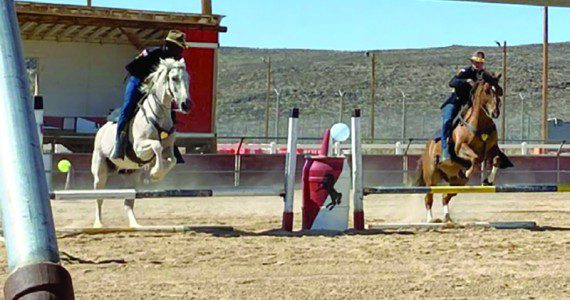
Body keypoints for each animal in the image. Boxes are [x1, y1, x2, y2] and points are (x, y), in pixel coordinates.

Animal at [90, 58, 190, 227]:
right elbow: (156, 145)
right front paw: (155, 172)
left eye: (188, 79)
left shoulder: (169, 148)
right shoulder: (139, 148)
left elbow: (172, 160)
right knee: (99, 198)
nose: (186, 104)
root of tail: (101, 129)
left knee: (128, 202)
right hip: (100, 172)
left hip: (131, 175)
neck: (158, 116)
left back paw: (135, 225)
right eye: (174, 78)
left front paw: (156, 174)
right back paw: (98, 224)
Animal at [414, 72, 504, 223]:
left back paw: (447, 217)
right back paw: (431, 219)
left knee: (445, 197)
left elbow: (496, 159)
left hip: (457, 183)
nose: (495, 112)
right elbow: (475, 158)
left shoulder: (492, 148)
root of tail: (427, 149)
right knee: (429, 198)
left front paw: (488, 180)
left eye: (499, 90)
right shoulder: (460, 148)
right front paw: (467, 171)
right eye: (487, 90)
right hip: (431, 176)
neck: (480, 125)